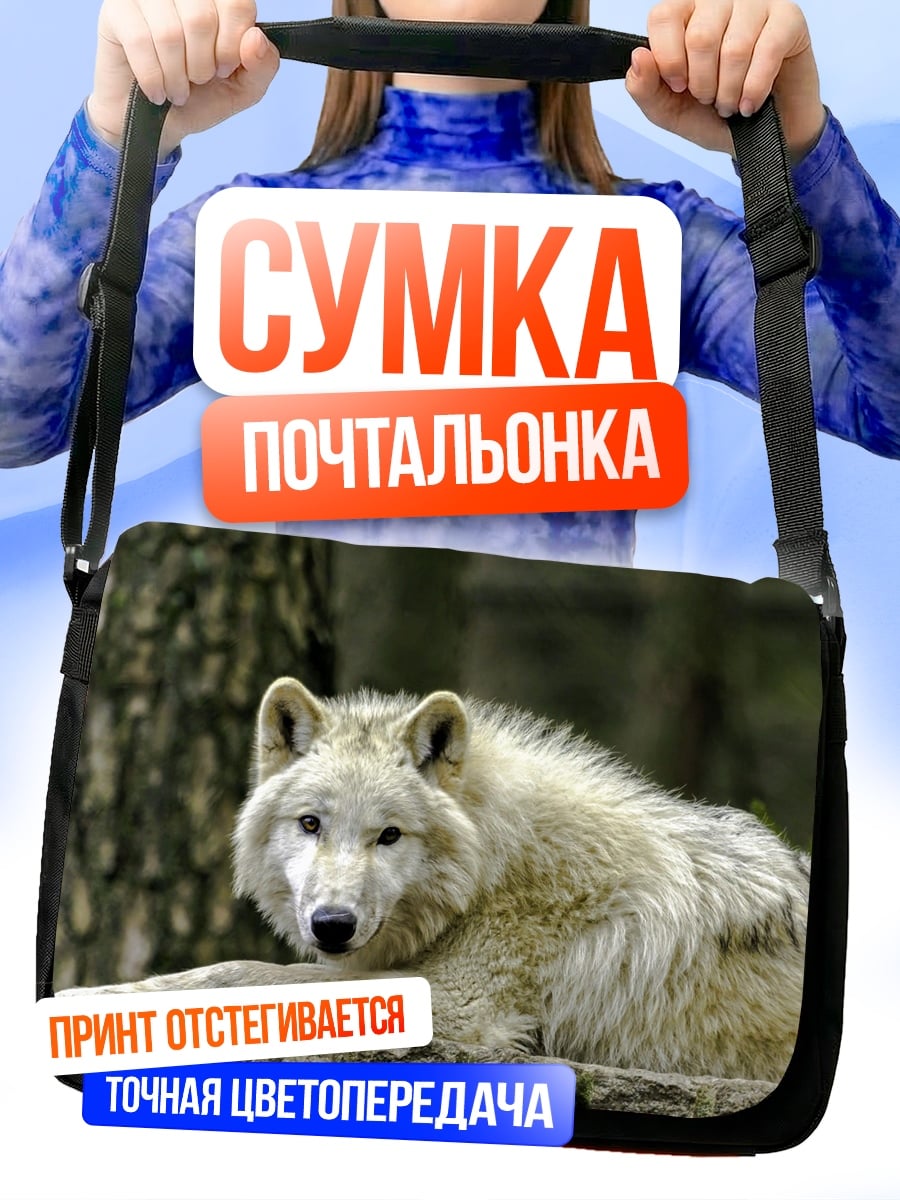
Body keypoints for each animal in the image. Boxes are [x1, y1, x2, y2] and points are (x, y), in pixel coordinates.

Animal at [66, 678, 810, 1083]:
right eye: (310, 824)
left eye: (390, 835)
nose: (331, 926)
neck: (493, 867)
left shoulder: (456, 1005)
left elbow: (240, 972)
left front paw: (97, 997)